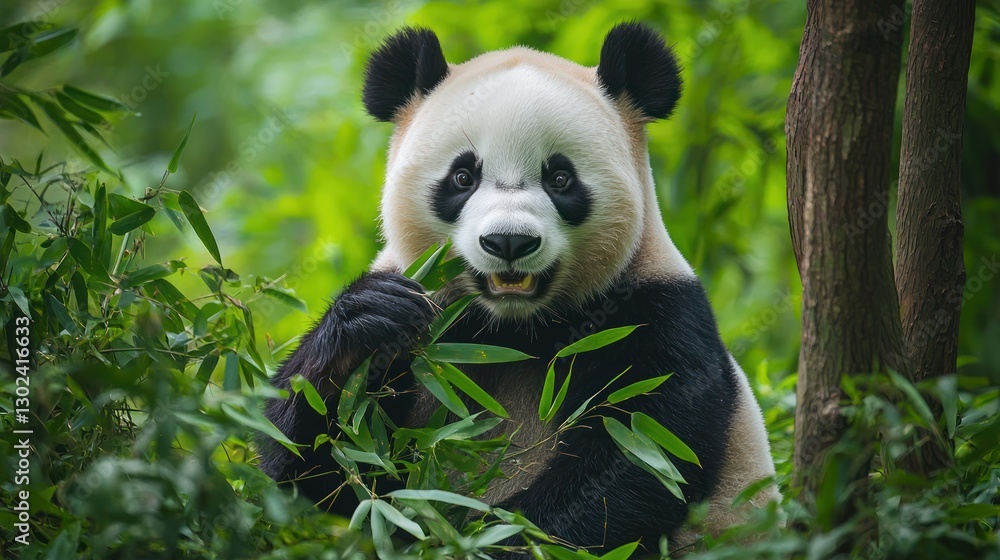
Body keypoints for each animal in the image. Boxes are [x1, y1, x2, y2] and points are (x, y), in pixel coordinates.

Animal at [261, 22, 779, 555]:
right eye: (463, 176)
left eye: (561, 178)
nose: (509, 241)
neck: (511, 328)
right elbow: (323, 467)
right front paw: (367, 322)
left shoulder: (653, 310)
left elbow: (637, 456)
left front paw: (485, 538)